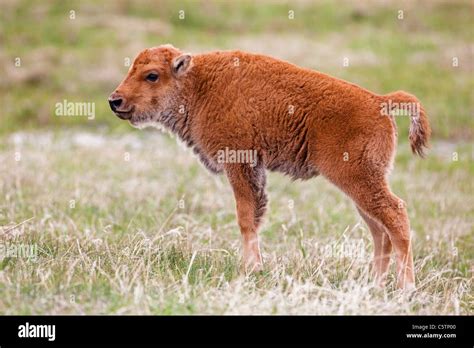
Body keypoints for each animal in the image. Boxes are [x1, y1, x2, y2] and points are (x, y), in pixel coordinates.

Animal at [110, 44, 430, 288]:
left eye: (152, 75)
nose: (115, 100)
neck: (198, 85)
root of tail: (379, 101)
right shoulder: (254, 170)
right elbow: (255, 215)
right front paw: (255, 268)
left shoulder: (239, 163)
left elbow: (245, 217)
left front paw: (249, 270)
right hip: (360, 186)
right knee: (379, 230)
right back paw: (373, 285)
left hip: (359, 180)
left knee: (395, 216)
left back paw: (406, 287)